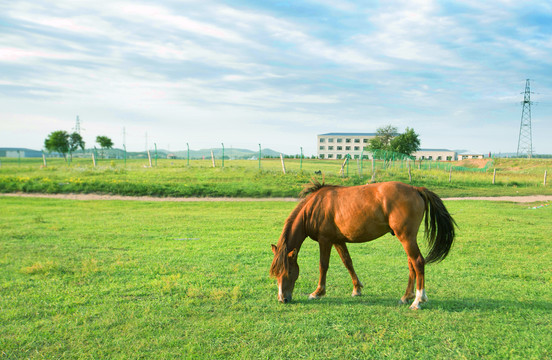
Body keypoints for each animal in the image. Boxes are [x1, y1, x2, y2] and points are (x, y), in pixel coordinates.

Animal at [270, 180, 454, 310]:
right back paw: (406, 296)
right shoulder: (338, 240)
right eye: (276, 273)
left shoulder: (325, 240)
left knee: (418, 262)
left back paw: (417, 300)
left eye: (289, 271)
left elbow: (323, 265)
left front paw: (317, 292)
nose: (283, 299)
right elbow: (348, 262)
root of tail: (416, 189)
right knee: (411, 264)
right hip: (407, 238)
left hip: (406, 237)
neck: (315, 207)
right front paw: (357, 289)